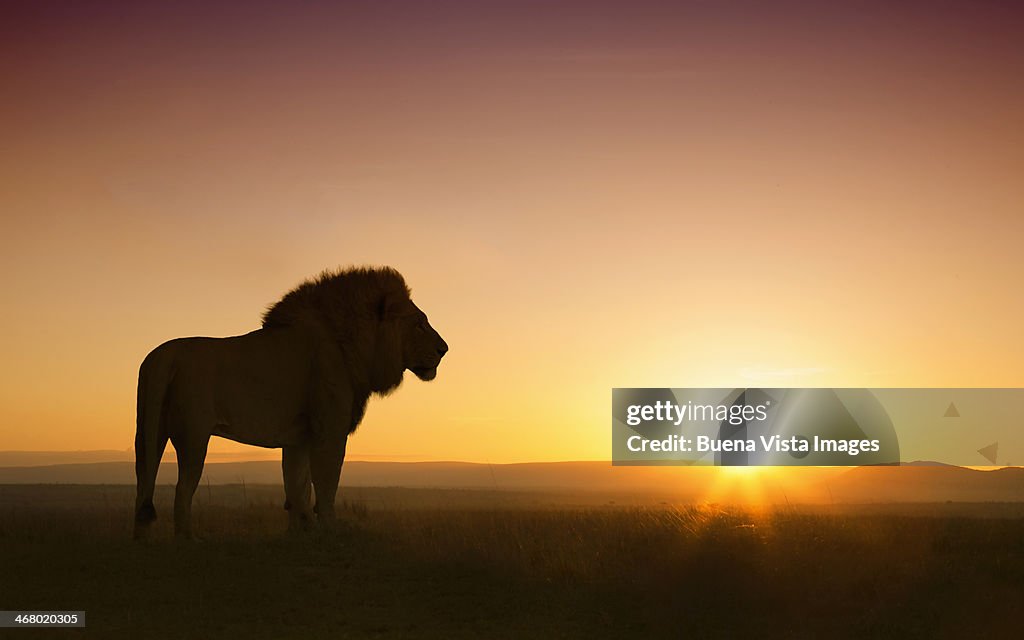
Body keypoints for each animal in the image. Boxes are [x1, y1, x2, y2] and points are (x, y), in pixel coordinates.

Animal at [131, 266, 444, 540]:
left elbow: (297, 486)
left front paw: (299, 532)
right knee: (182, 489)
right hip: (194, 437)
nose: (445, 348)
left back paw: (142, 540)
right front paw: (330, 529)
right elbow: (327, 481)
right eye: (419, 324)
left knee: (143, 484)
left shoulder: (299, 437)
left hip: (147, 434)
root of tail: (162, 357)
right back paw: (187, 539)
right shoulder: (329, 430)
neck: (353, 344)